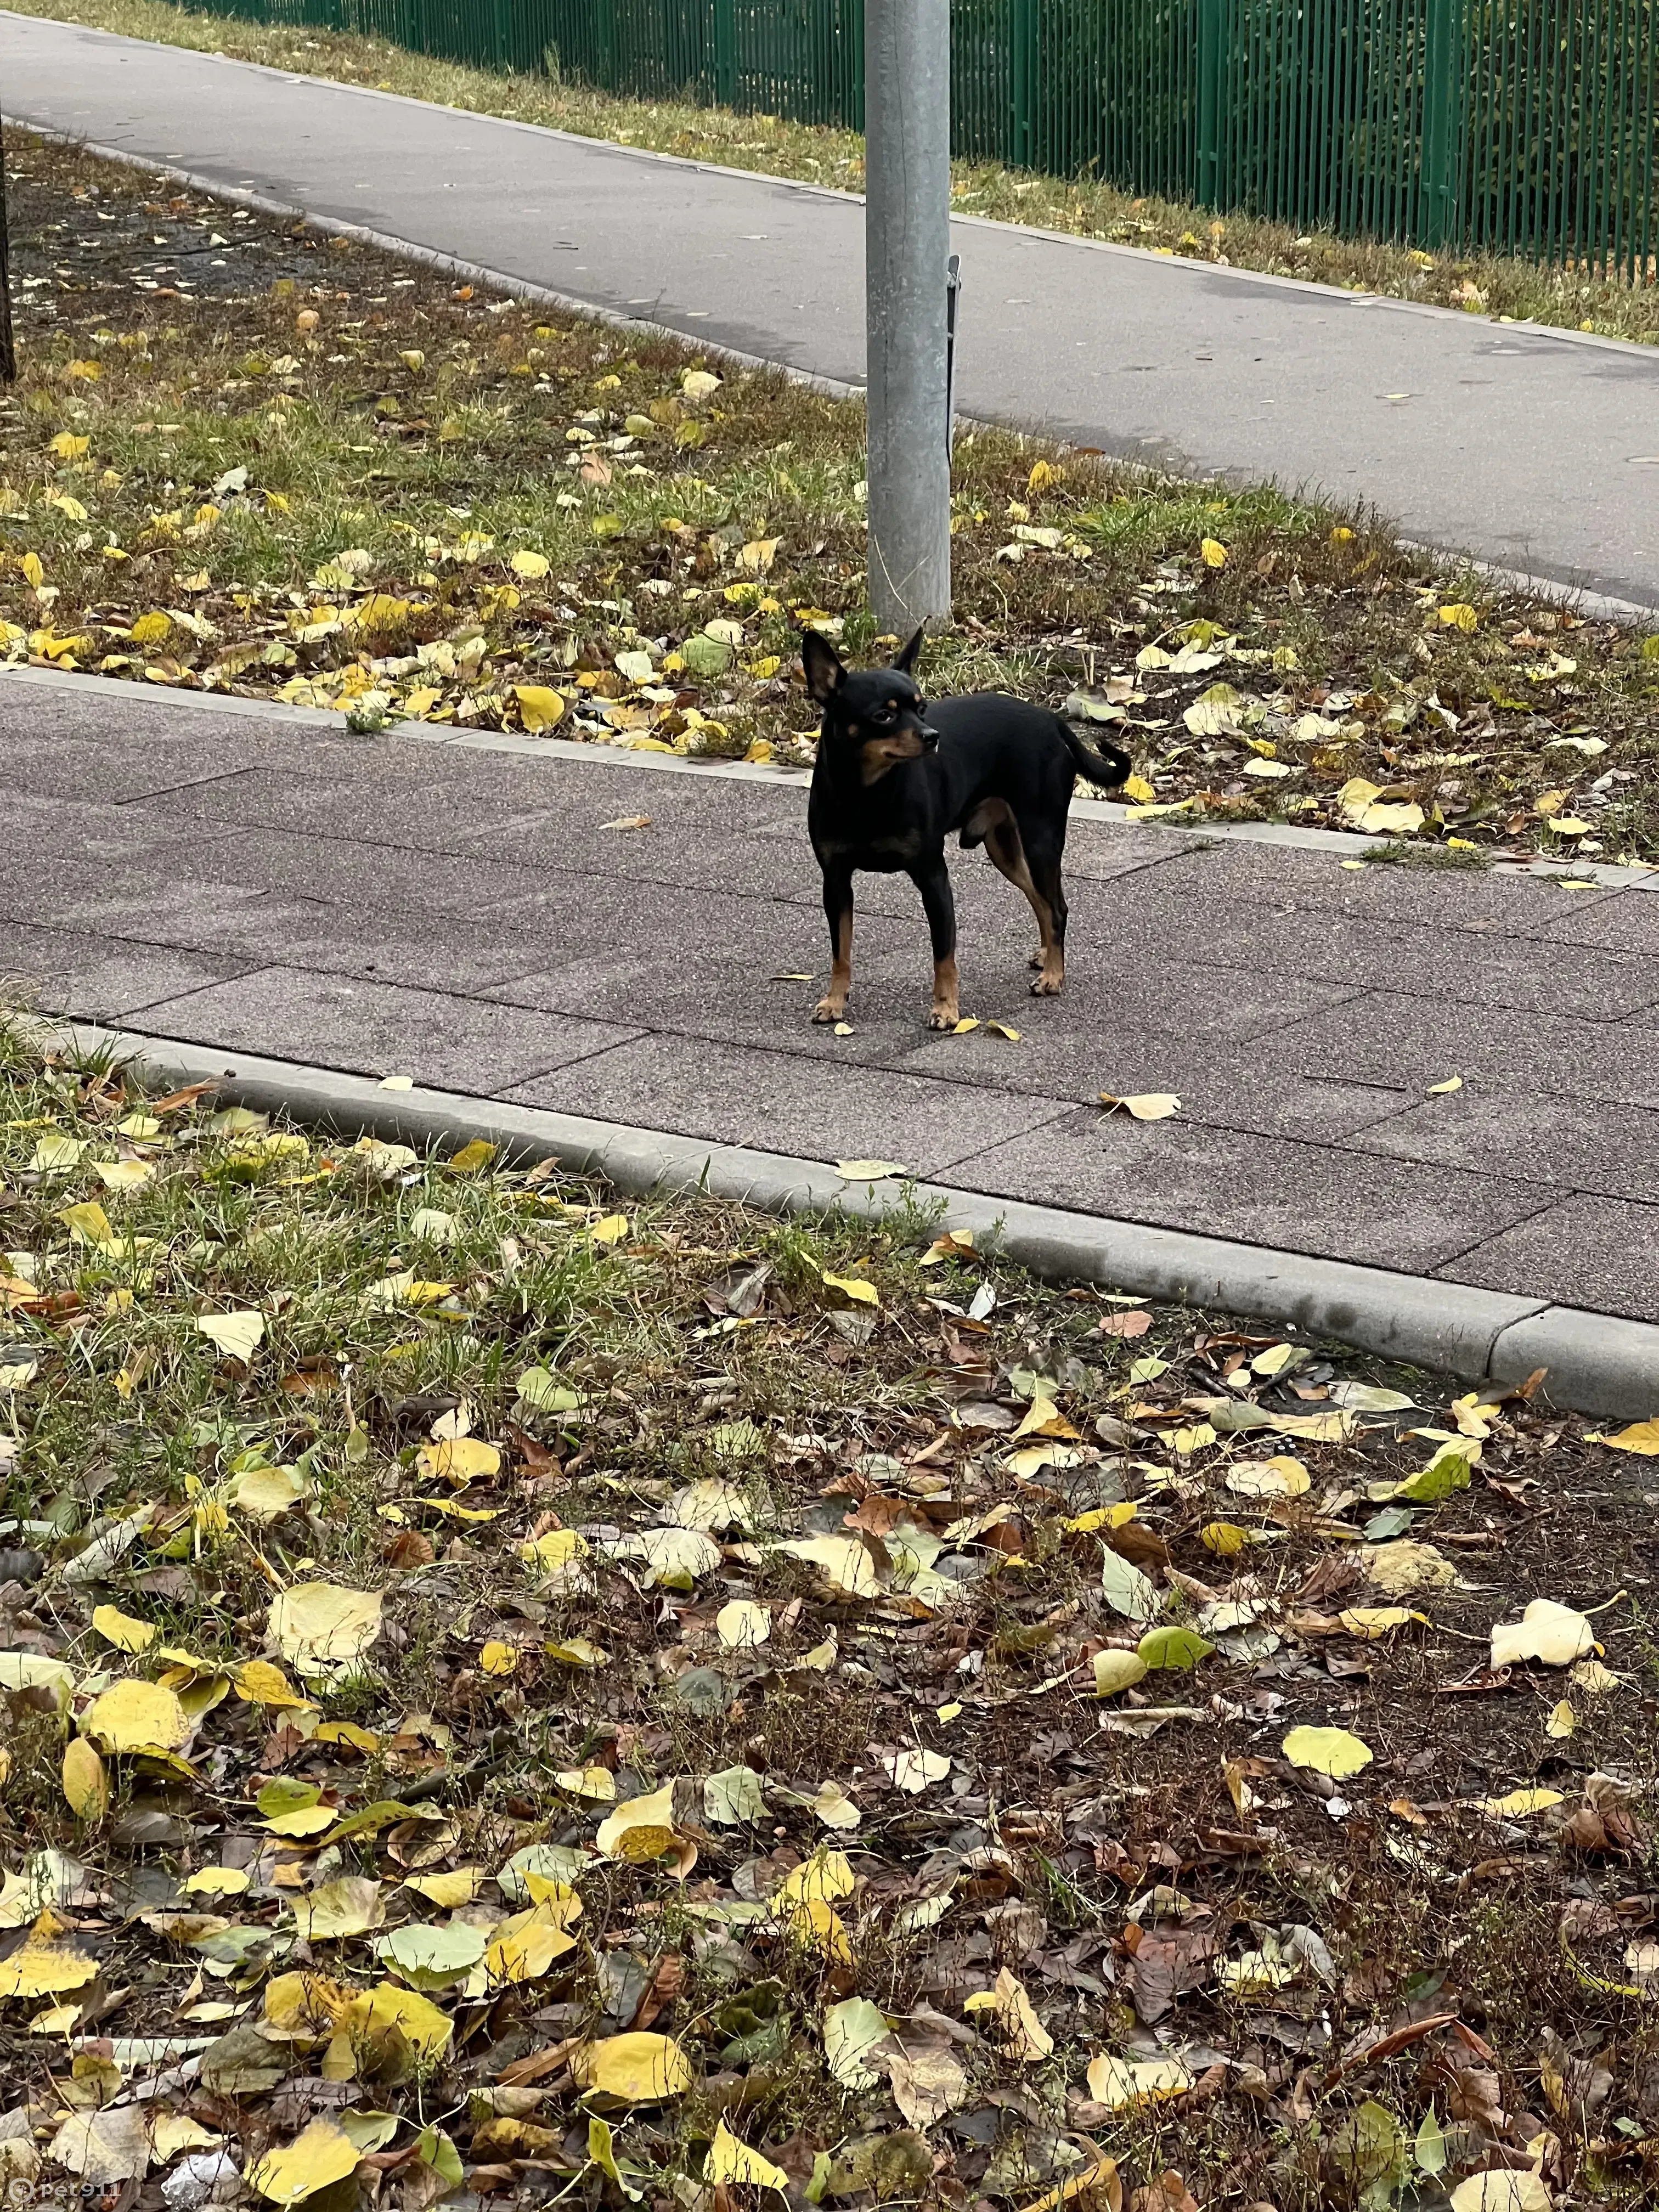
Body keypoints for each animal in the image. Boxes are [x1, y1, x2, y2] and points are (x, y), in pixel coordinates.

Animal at [800, 633, 1132, 1026]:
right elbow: (841, 952)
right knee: (1042, 902)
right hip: (1004, 849)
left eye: (923, 708)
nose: (932, 736)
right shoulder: (835, 883)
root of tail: (1049, 718)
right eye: (884, 715)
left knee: (1058, 908)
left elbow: (944, 956)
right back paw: (1046, 955)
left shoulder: (933, 878)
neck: (868, 793)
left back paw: (1053, 975)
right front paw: (835, 1000)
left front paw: (946, 1009)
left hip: (1041, 840)